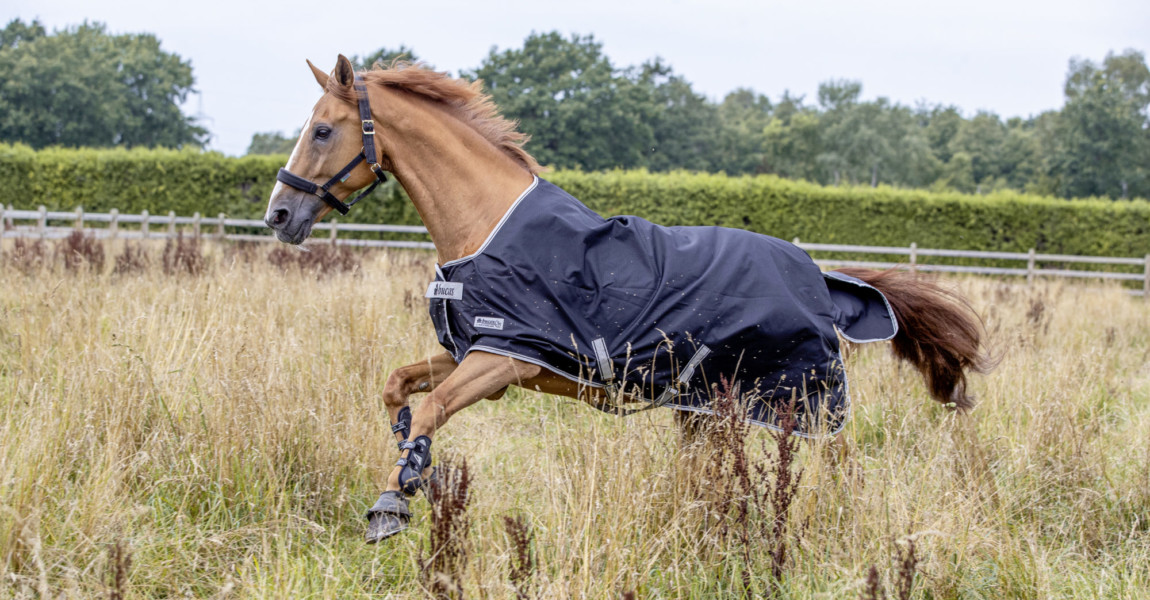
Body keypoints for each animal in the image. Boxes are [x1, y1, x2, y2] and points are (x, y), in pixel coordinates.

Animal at [263, 56, 989, 542]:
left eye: (323, 130)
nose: (278, 215)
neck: (489, 223)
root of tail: (822, 279)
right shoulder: (478, 350)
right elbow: (400, 391)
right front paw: (416, 474)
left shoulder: (504, 358)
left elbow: (432, 407)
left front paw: (392, 504)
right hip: (711, 408)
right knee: (714, 472)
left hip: (798, 404)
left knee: (843, 464)